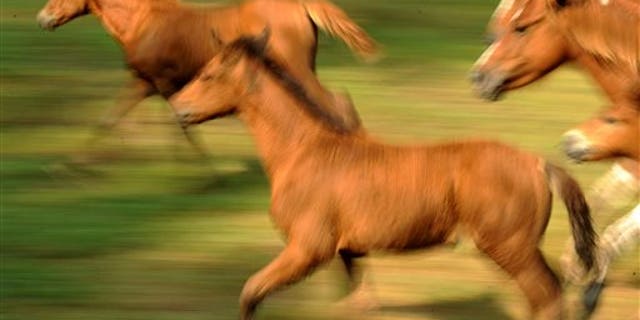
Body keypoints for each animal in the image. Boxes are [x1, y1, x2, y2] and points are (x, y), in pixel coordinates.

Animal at [36, 0, 380, 160]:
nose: (42, 18)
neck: (144, 23)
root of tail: (301, 6)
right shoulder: (149, 84)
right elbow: (116, 120)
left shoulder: (154, 82)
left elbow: (179, 126)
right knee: (336, 102)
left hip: (296, 69)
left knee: (334, 103)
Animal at [169, 31, 596, 320]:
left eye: (208, 75)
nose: (177, 107)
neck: (304, 152)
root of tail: (538, 164)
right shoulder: (348, 253)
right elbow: (361, 303)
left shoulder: (308, 249)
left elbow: (250, 292)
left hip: (511, 249)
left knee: (547, 298)